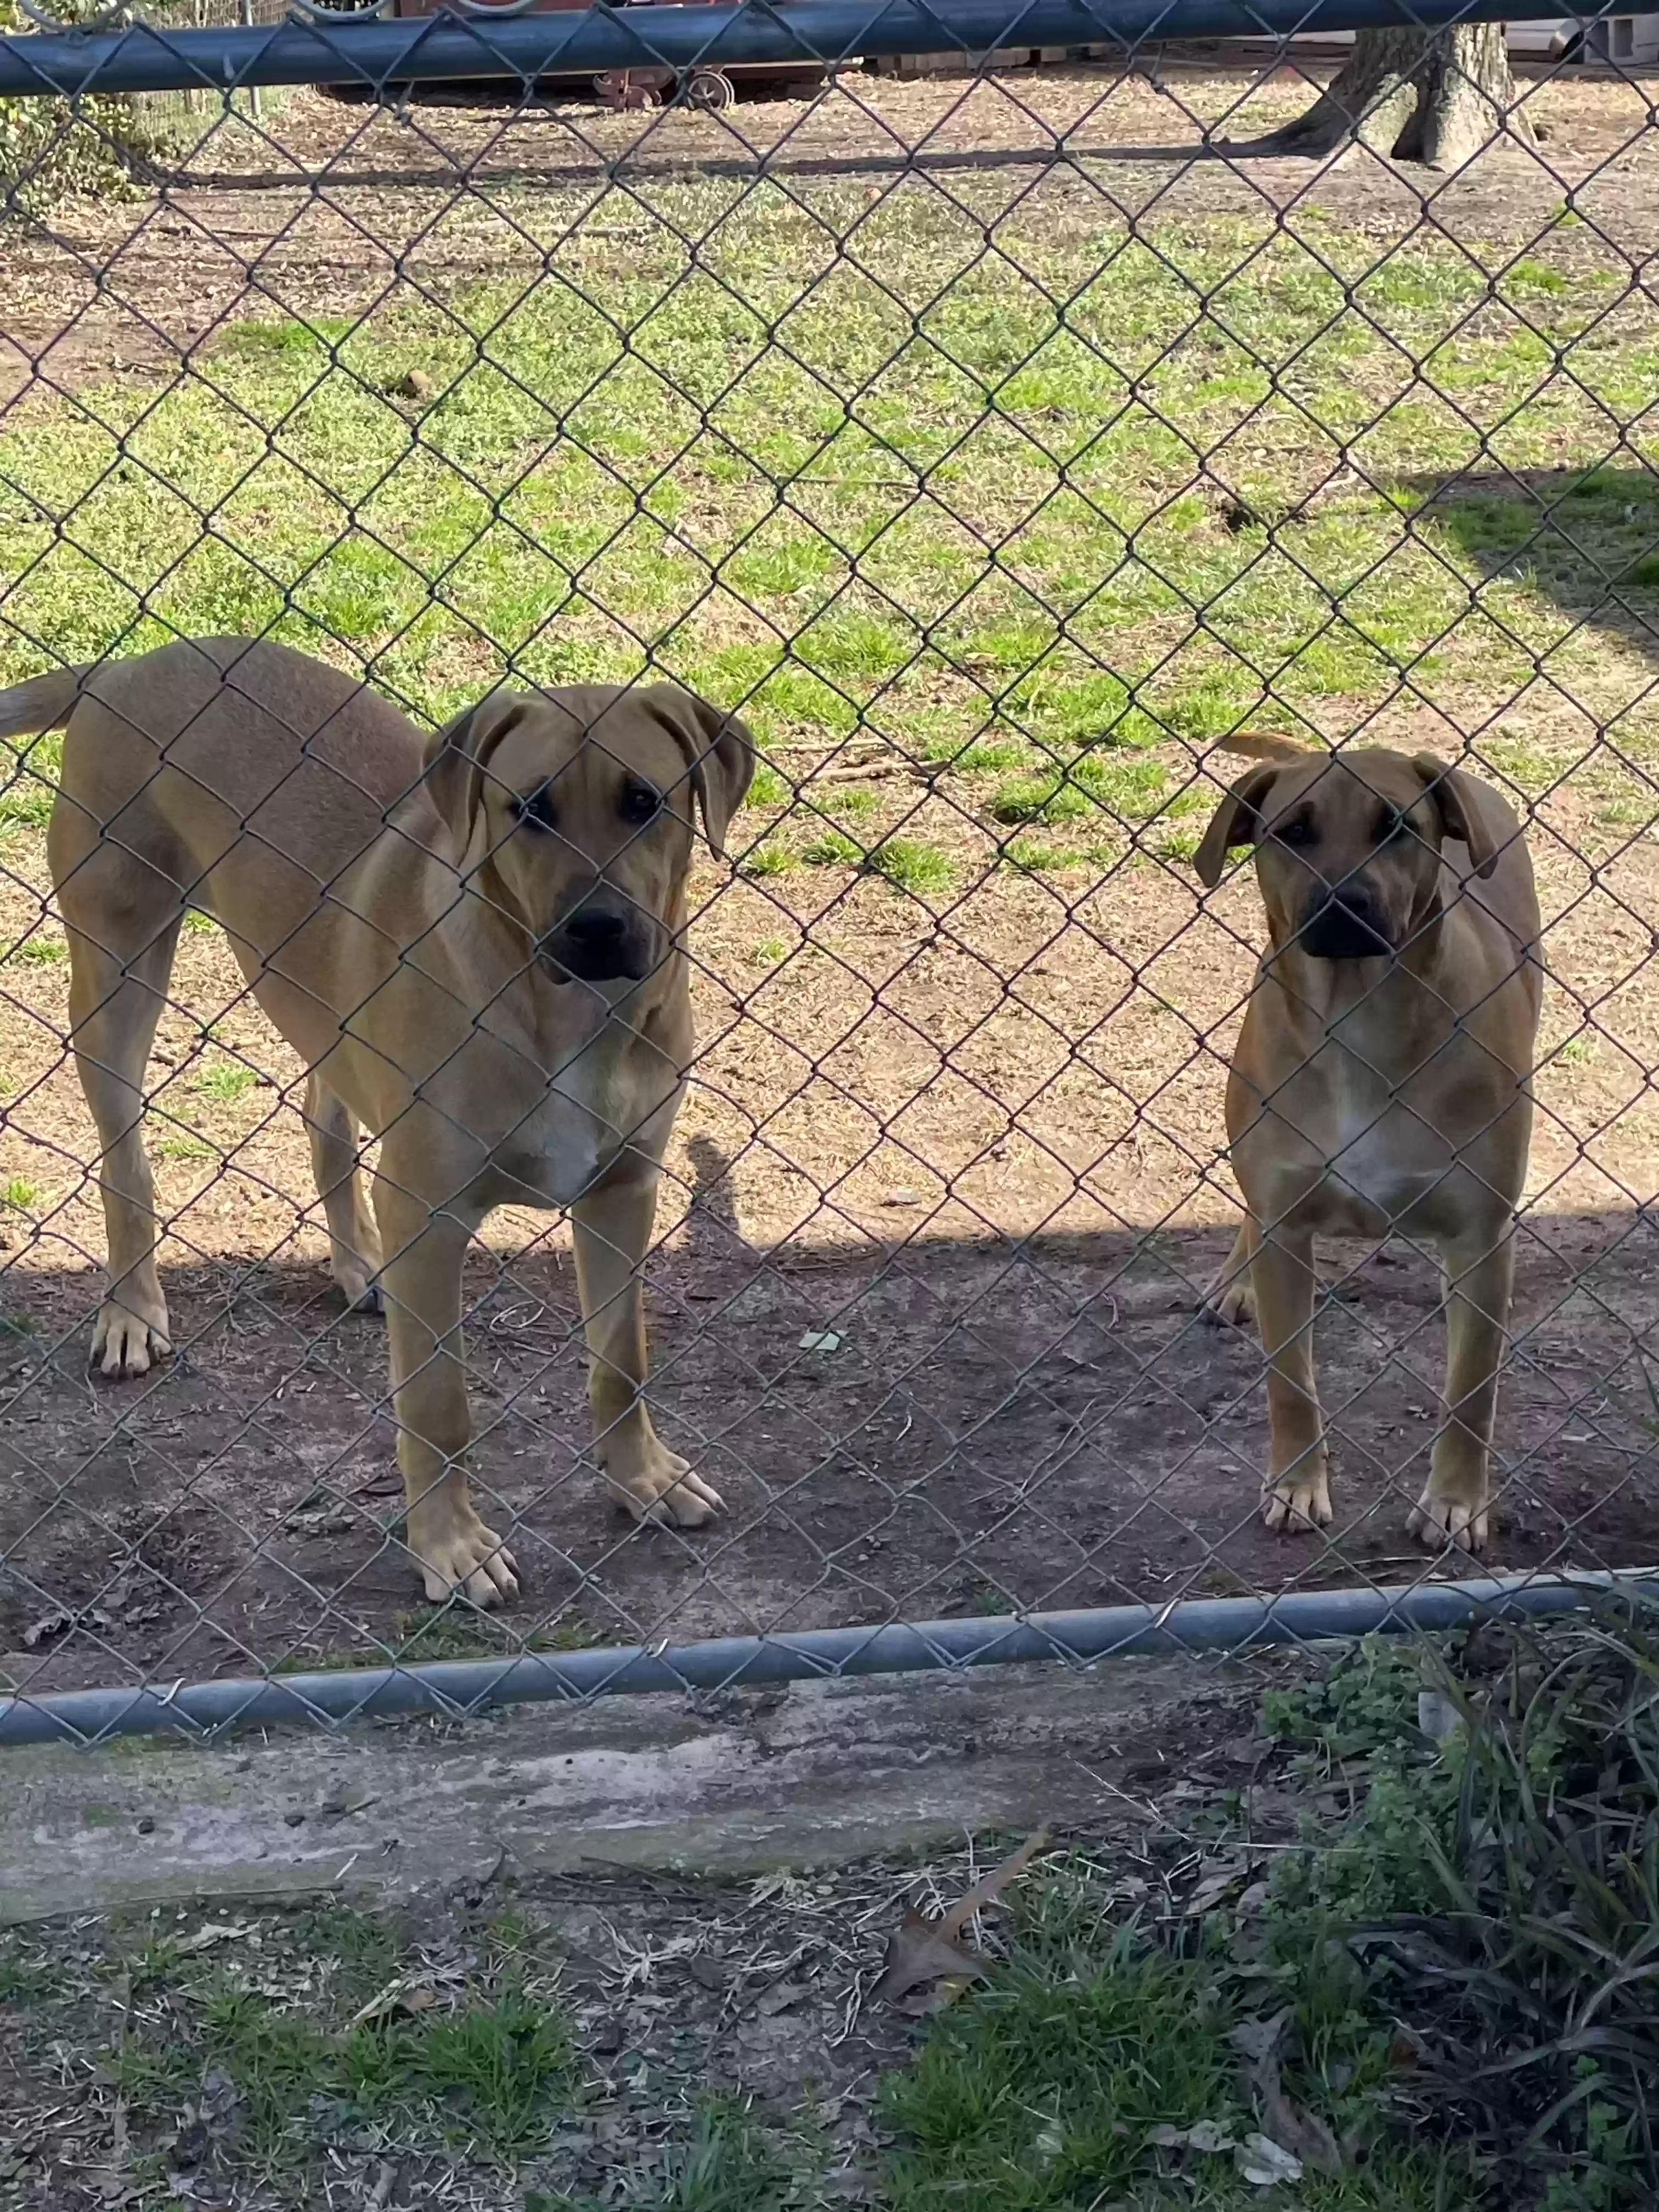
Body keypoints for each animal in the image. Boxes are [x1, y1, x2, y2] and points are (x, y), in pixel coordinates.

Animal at [0, 641, 752, 1610]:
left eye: (644, 801)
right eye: (528, 809)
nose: (596, 929)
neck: (567, 1017)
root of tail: (131, 664)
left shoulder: (624, 1192)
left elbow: (621, 1361)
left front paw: (643, 1478)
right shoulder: (429, 1219)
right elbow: (438, 1404)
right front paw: (450, 1546)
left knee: (325, 1119)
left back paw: (359, 1262)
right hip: (115, 967)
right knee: (124, 1162)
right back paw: (132, 1312)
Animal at [1194, 738, 1548, 1557]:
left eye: (1397, 827)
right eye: (1293, 830)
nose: (1344, 904)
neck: (1359, 1021)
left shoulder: (1482, 1234)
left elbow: (1471, 1392)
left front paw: (1455, 1502)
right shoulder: (1285, 1224)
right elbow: (1290, 1380)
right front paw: (1297, 1484)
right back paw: (1235, 1279)